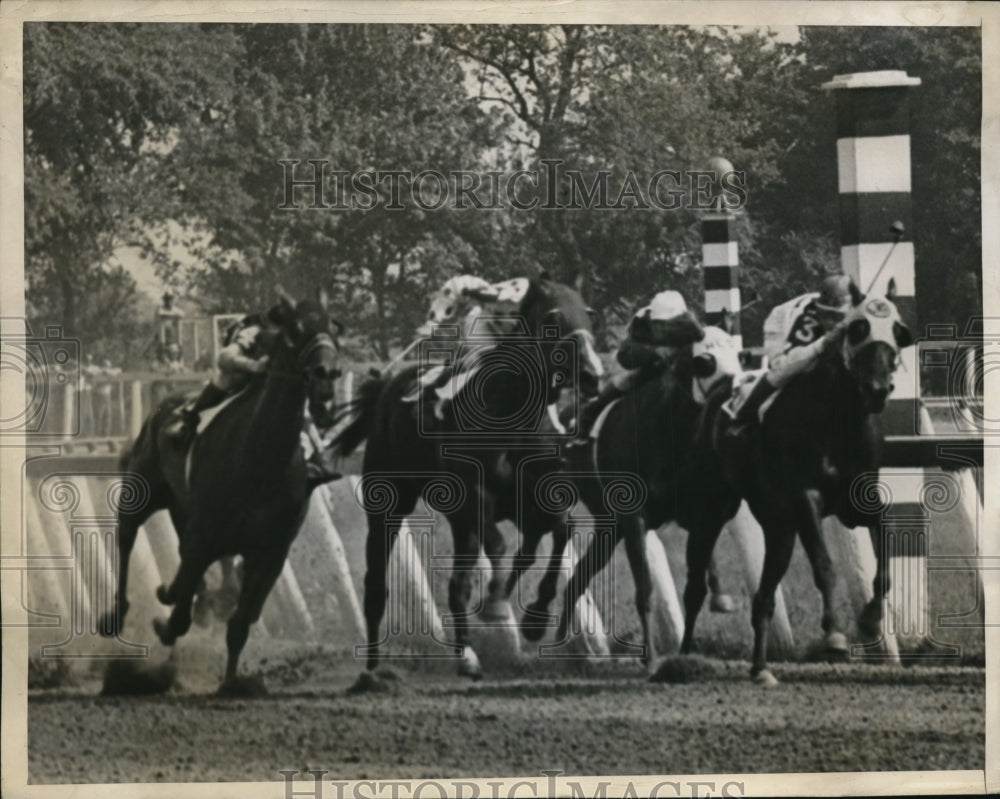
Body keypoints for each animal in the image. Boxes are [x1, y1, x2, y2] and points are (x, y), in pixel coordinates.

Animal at [100, 290, 344, 692]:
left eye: (334, 328)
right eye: (297, 330)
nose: (326, 378)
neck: (260, 456)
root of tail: (163, 405)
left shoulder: (271, 553)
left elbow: (239, 623)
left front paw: (232, 682)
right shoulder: (205, 537)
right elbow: (180, 618)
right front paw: (165, 623)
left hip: (184, 511)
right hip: (142, 491)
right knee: (126, 537)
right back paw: (117, 613)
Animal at [330, 276, 600, 680]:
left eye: (587, 314)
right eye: (553, 317)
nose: (594, 375)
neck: (511, 418)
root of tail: (386, 389)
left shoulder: (533, 501)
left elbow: (556, 534)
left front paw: (533, 619)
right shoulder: (476, 498)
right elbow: (503, 549)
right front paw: (496, 607)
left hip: (458, 522)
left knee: (458, 585)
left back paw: (467, 655)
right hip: (389, 504)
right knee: (377, 584)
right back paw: (374, 669)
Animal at [552, 324, 748, 668]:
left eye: (739, 355)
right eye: (706, 362)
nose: (733, 388)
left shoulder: (706, 520)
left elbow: (694, 591)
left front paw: (684, 654)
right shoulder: (635, 518)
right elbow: (645, 589)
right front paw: (652, 658)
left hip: (609, 527)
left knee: (578, 578)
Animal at [680, 296, 916, 684]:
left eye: (895, 336)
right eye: (858, 331)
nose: (878, 390)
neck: (836, 419)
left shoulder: (858, 501)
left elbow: (884, 555)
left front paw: (869, 618)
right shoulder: (805, 499)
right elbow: (824, 565)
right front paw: (834, 634)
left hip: (779, 528)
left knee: (763, 598)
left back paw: (760, 669)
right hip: (712, 510)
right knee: (695, 586)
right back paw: (681, 658)